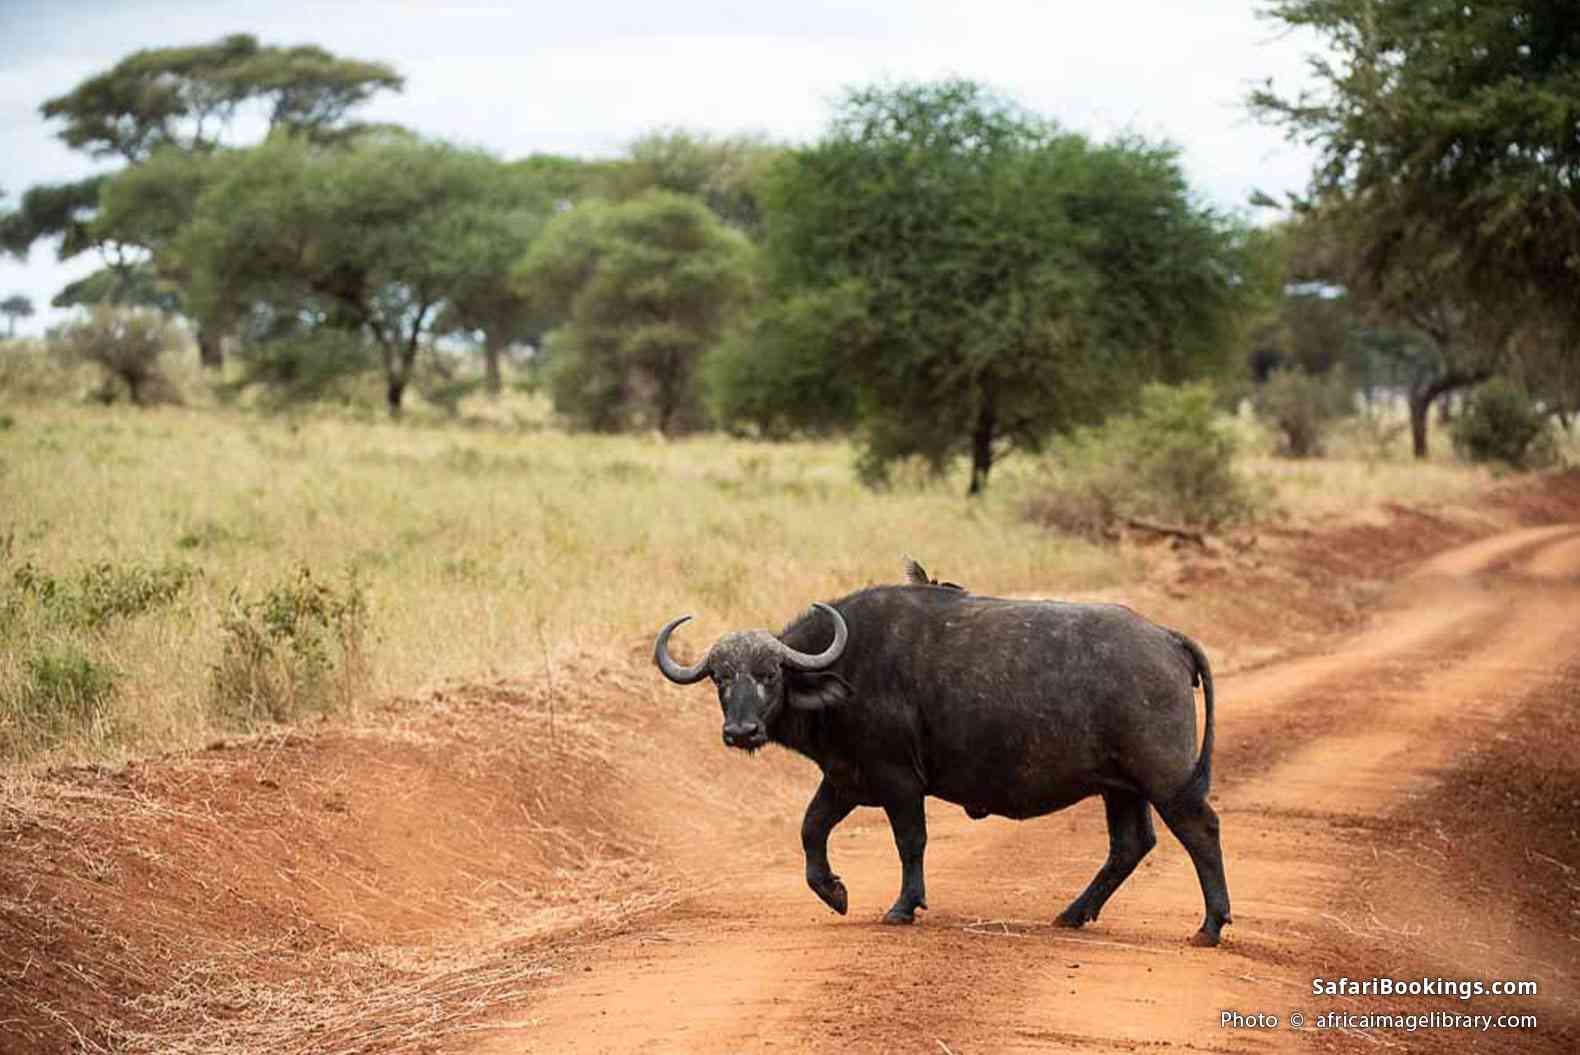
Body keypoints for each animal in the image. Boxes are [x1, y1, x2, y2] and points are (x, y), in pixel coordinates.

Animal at [653, 561, 1230, 946]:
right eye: (720, 679)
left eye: (770, 675)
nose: (741, 730)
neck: (849, 665)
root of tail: (1166, 638)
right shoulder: (846, 778)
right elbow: (810, 829)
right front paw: (834, 892)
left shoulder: (898, 781)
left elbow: (911, 842)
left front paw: (903, 906)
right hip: (1119, 787)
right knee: (1130, 844)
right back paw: (1072, 913)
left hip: (1165, 777)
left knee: (1200, 830)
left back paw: (1210, 925)